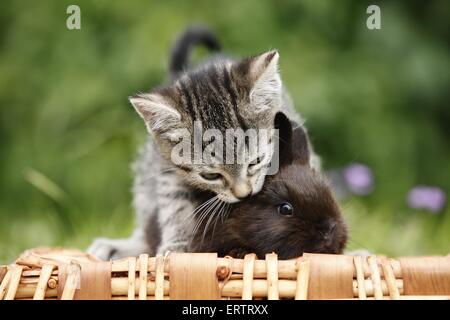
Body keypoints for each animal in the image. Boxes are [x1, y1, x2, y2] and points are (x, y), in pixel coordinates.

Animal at [88, 26, 318, 260]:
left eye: (256, 161)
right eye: (210, 176)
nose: (243, 194)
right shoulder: (166, 170)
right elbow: (174, 205)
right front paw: (176, 245)